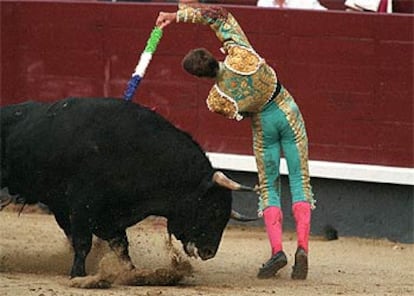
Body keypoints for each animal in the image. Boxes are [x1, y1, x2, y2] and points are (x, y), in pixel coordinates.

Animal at [0, 97, 258, 278]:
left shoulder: (110, 216)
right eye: (212, 210)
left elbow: (120, 246)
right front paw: (79, 275)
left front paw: (132, 273)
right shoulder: (82, 204)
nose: (209, 252)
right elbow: (83, 242)